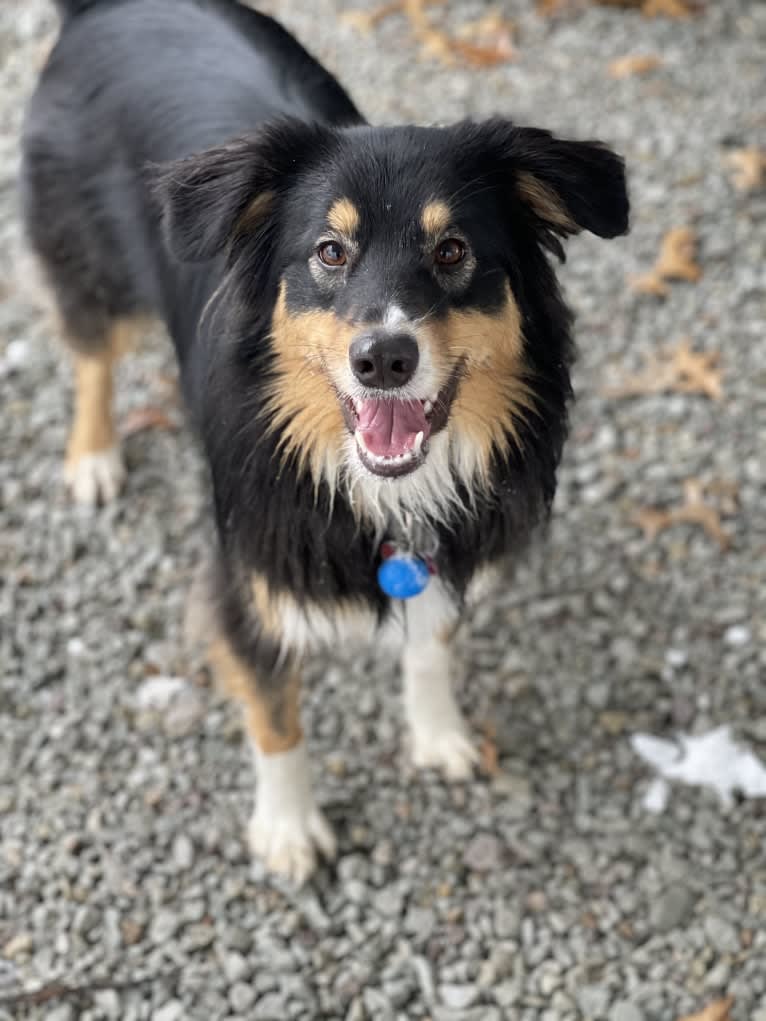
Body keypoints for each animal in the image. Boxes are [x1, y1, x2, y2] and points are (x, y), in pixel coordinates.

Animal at [24, 0, 633, 882]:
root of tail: (101, 9)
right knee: (91, 349)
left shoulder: (451, 546)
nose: (383, 358)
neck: (381, 487)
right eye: (330, 252)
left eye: (453, 250)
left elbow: (429, 641)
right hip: (87, 256)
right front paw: (288, 828)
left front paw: (439, 733)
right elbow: (275, 710)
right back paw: (94, 456)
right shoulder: (247, 572)